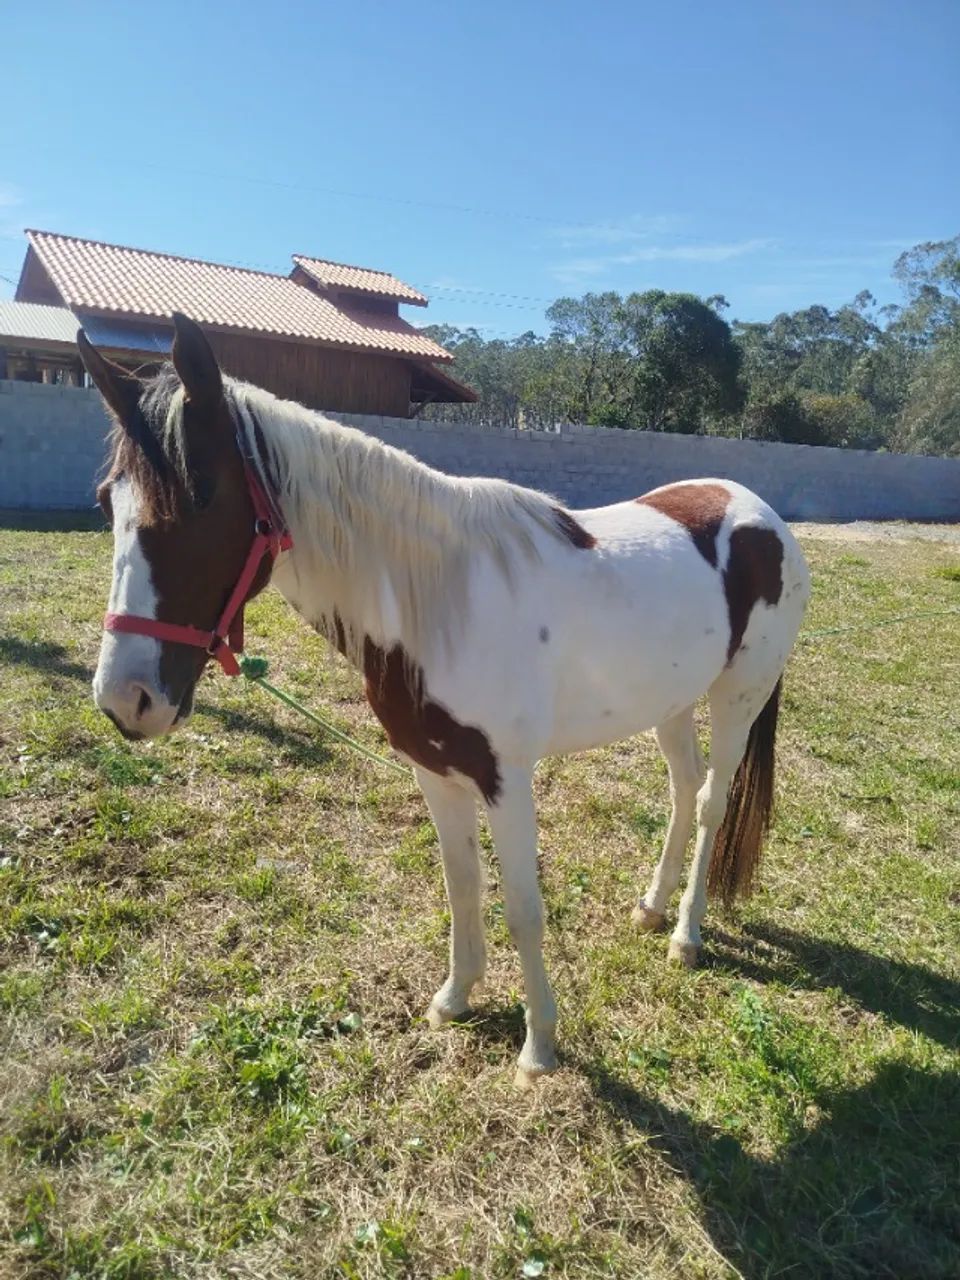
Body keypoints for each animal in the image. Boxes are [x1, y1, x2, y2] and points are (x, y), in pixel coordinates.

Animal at [81, 312, 810, 1087]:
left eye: (204, 496)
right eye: (106, 503)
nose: (126, 699)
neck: (438, 604)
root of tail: (758, 512)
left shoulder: (506, 780)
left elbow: (523, 907)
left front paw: (538, 1048)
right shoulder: (435, 770)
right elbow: (462, 885)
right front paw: (455, 998)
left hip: (738, 698)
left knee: (709, 804)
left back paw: (685, 935)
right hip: (670, 703)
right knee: (681, 790)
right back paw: (650, 908)